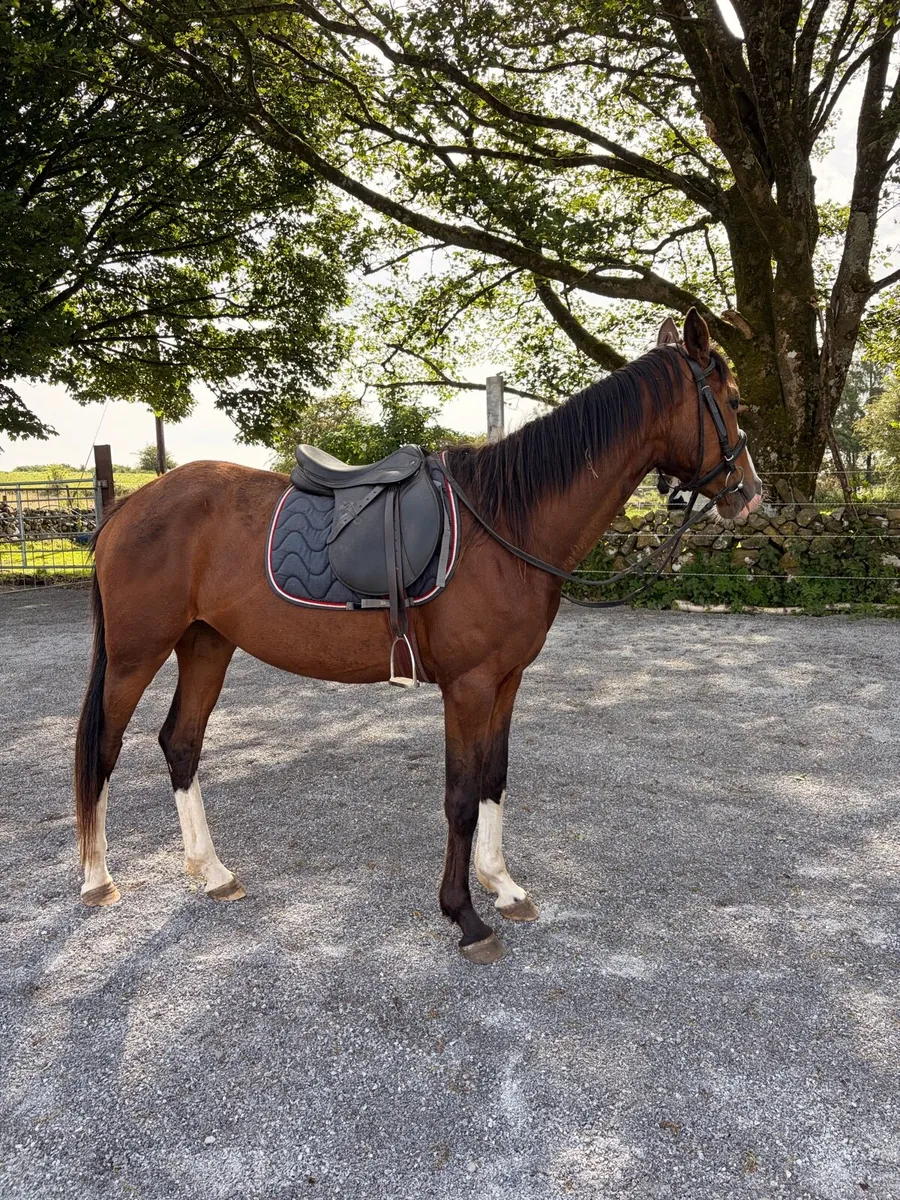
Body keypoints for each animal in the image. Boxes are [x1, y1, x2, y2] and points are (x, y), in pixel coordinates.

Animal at [74, 309, 762, 964]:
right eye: (730, 401)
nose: (750, 496)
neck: (506, 522)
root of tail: (127, 511)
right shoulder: (468, 686)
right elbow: (460, 797)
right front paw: (465, 917)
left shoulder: (506, 681)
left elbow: (493, 780)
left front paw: (502, 885)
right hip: (137, 655)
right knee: (104, 750)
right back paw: (97, 879)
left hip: (206, 644)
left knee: (180, 743)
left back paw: (211, 872)